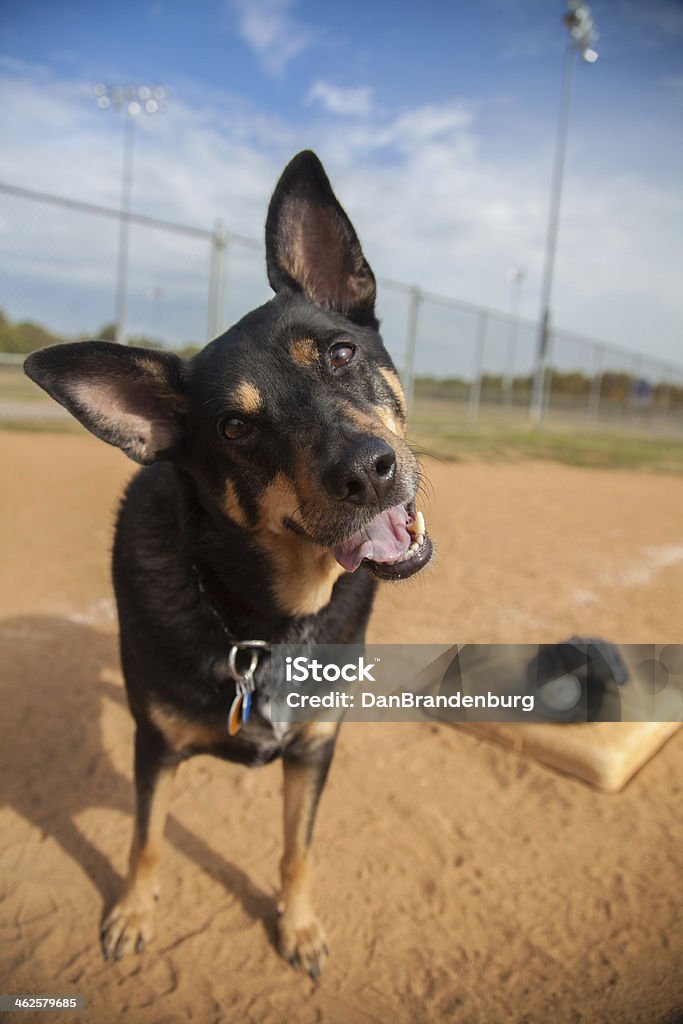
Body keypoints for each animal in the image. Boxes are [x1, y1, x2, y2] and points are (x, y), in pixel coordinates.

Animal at [26, 149, 436, 974]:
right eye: (236, 428)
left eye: (341, 353)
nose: (367, 471)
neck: (263, 625)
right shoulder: (154, 746)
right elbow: (146, 839)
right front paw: (131, 914)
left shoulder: (314, 748)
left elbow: (296, 851)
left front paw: (298, 926)